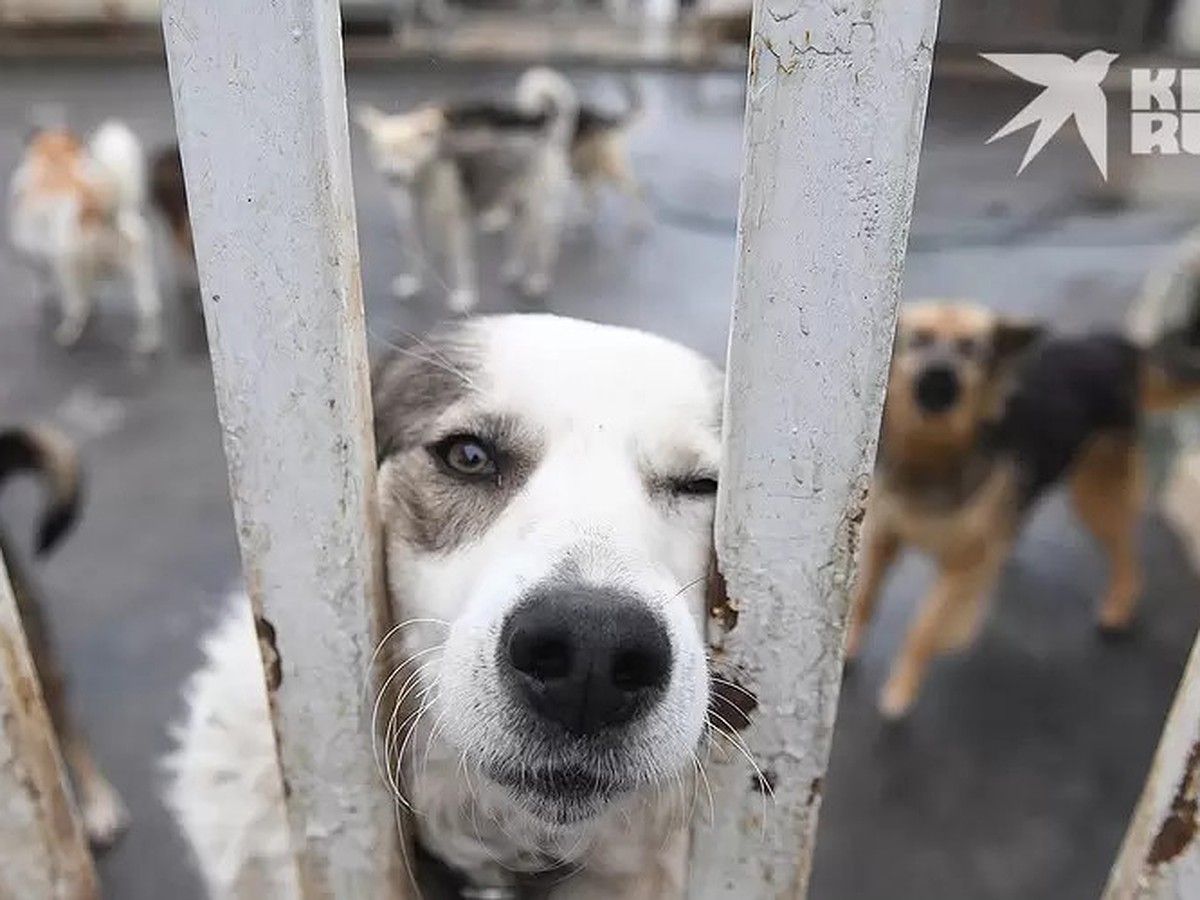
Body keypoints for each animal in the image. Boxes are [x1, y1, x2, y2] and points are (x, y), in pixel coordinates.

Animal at [8, 118, 164, 355]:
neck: (56, 160)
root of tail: (102, 216)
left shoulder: (36, 256)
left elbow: (40, 278)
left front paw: (42, 297)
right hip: (139, 267)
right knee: (147, 305)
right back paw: (147, 343)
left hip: (67, 268)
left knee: (76, 307)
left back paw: (67, 336)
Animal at [844, 300, 1200, 724]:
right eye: (919, 340)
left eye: (971, 349)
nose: (940, 376)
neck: (933, 453)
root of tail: (1113, 345)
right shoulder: (883, 535)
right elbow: (864, 597)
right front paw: (847, 648)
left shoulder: (963, 568)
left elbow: (924, 628)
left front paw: (901, 687)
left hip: (1095, 494)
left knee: (1123, 549)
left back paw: (1118, 605)